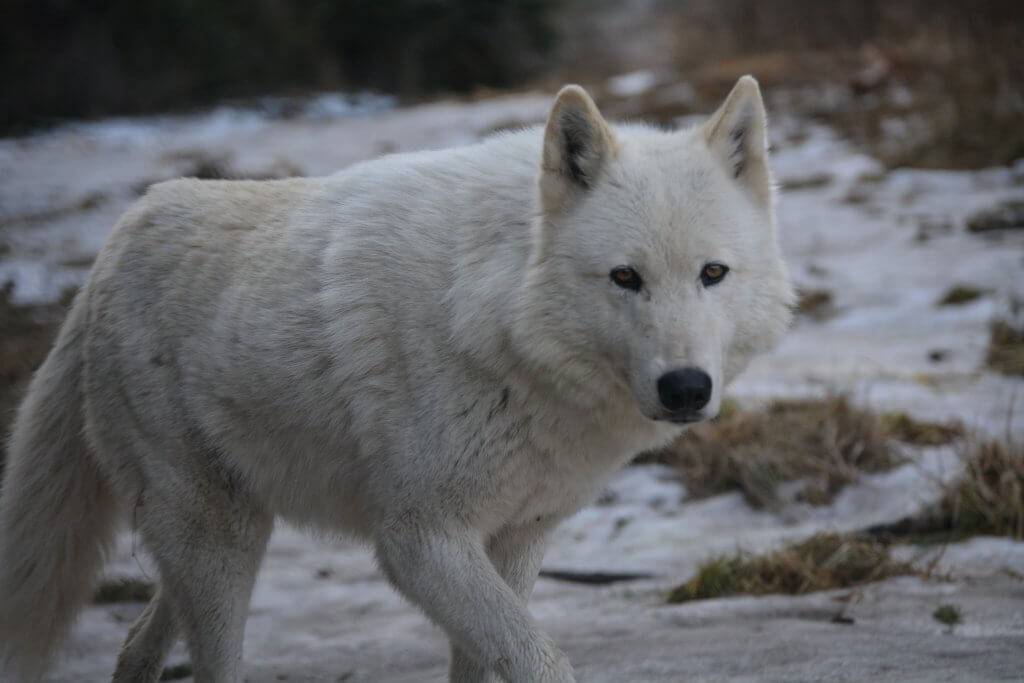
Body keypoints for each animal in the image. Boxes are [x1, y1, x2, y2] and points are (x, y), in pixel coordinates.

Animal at [0, 77, 790, 679]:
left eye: (712, 273)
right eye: (625, 277)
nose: (685, 388)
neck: (497, 324)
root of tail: (106, 255)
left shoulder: (517, 536)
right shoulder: (419, 541)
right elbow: (536, 659)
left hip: (224, 533)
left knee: (138, 642)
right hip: (218, 539)